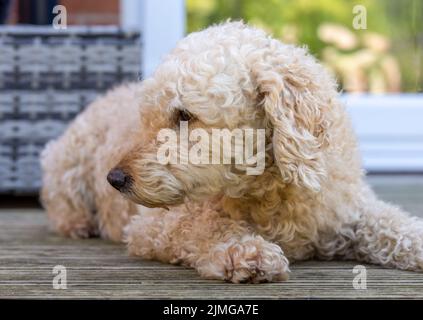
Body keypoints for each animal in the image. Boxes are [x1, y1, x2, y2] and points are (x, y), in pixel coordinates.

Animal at [42, 22, 423, 282]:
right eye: (147, 118)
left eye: (184, 115)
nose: (115, 178)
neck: (271, 192)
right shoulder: (149, 228)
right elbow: (202, 228)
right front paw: (244, 252)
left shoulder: (349, 210)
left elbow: (393, 224)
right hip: (66, 166)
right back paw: (79, 224)